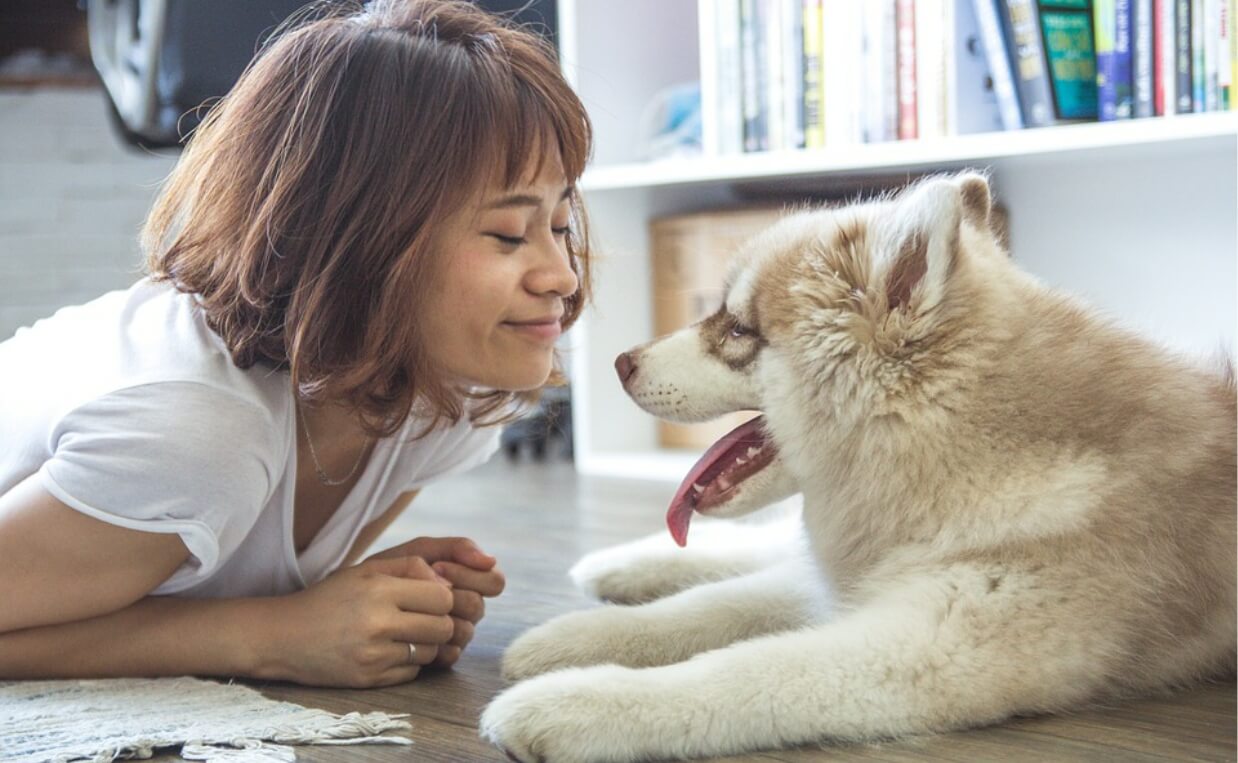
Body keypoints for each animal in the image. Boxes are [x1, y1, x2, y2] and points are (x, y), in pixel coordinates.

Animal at [477, 173, 1233, 763]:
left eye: (737, 329)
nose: (618, 362)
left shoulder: (926, 643)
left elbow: (743, 669)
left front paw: (576, 701)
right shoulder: (860, 580)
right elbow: (704, 608)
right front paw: (571, 639)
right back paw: (619, 566)